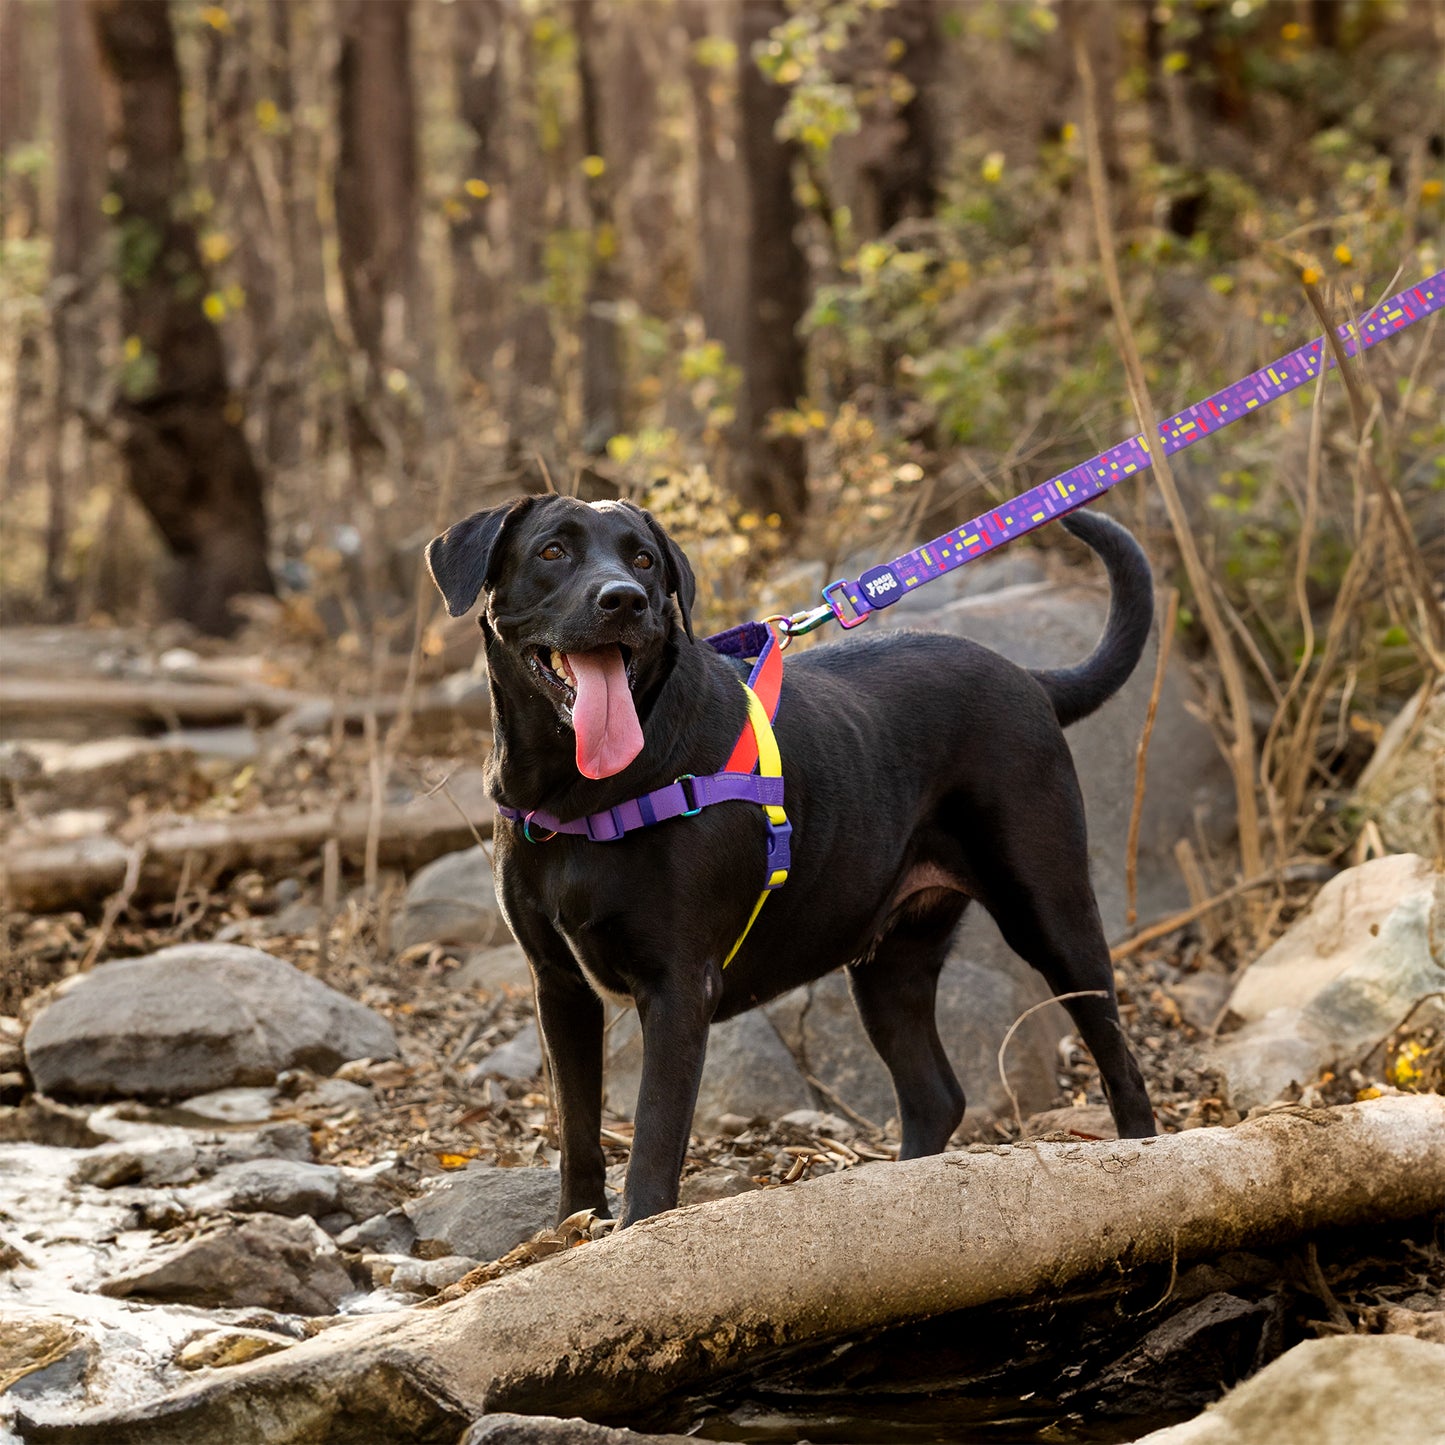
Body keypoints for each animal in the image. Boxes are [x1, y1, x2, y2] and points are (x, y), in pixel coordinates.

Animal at [421, 494, 1156, 1219]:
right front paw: (572, 1227)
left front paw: (635, 1231)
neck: (575, 796)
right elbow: (576, 1129)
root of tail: (1027, 677)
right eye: (552, 551)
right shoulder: (558, 985)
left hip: (1051, 915)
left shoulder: (677, 988)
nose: (623, 598)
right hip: (889, 963)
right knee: (935, 1095)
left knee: (1119, 1063)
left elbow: (653, 1144)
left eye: (644, 559)